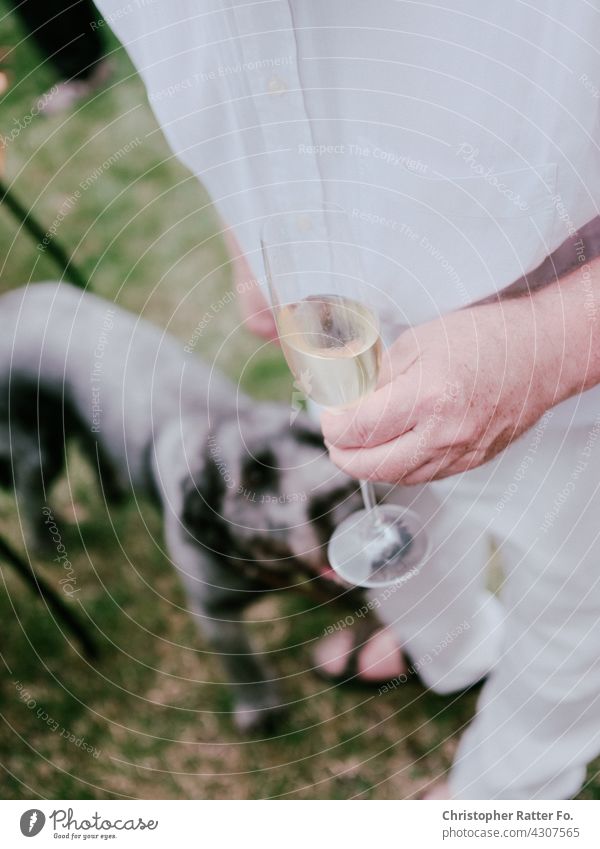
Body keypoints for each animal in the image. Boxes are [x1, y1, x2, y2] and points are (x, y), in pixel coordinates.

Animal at [0, 284, 360, 728]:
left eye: (320, 445)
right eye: (254, 478)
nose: (345, 503)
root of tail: (16, 298)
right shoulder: (213, 614)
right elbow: (242, 664)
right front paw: (259, 710)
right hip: (40, 446)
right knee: (29, 490)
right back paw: (44, 544)